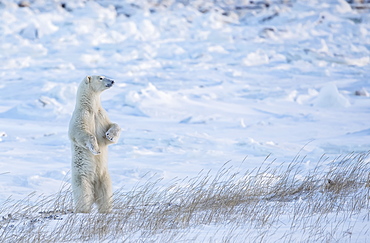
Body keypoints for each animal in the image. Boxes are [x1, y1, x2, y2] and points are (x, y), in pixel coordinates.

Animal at [68, 75, 120, 213]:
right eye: (101, 77)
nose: (112, 81)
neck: (91, 108)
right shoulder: (81, 116)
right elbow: (79, 132)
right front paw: (96, 149)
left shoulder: (101, 116)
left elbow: (112, 126)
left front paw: (110, 135)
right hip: (82, 176)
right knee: (84, 195)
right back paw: (83, 210)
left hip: (104, 177)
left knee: (106, 194)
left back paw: (106, 209)